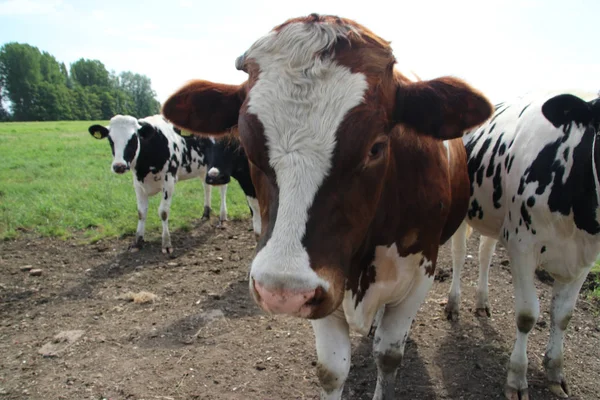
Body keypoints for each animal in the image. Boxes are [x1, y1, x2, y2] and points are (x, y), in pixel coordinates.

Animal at [88, 115, 227, 253]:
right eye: (110, 140)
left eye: (133, 139)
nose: (119, 166)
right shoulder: (138, 185)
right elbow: (141, 212)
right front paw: (138, 241)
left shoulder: (169, 181)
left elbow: (163, 212)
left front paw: (166, 243)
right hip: (203, 168)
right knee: (207, 187)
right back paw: (206, 214)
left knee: (223, 189)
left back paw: (222, 218)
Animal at [163, 13, 492, 400]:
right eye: (247, 145)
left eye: (376, 147)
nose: (281, 291)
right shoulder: (323, 288)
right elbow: (332, 370)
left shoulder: (419, 276)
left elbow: (388, 355)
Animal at [446, 91, 600, 400]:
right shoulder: (522, 246)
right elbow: (527, 316)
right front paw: (517, 378)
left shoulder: (585, 258)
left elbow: (563, 316)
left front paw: (555, 370)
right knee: (459, 255)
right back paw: (453, 304)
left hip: (493, 217)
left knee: (484, 254)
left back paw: (482, 303)